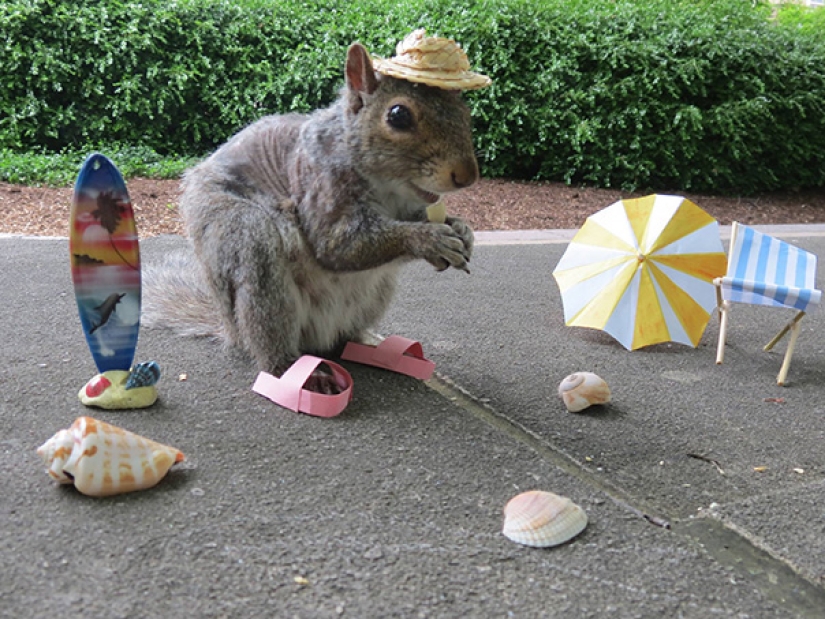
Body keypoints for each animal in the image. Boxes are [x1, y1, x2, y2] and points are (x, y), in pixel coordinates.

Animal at [143, 35, 488, 389]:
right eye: (398, 115)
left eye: (464, 110)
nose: (466, 175)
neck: (387, 188)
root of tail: (231, 329)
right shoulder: (320, 182)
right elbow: (336, 246)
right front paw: (429, 240)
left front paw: (461, 229)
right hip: (247, 241)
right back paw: (296, 372)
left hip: (376, 292)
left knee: (343, 338)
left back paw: (368, 346)